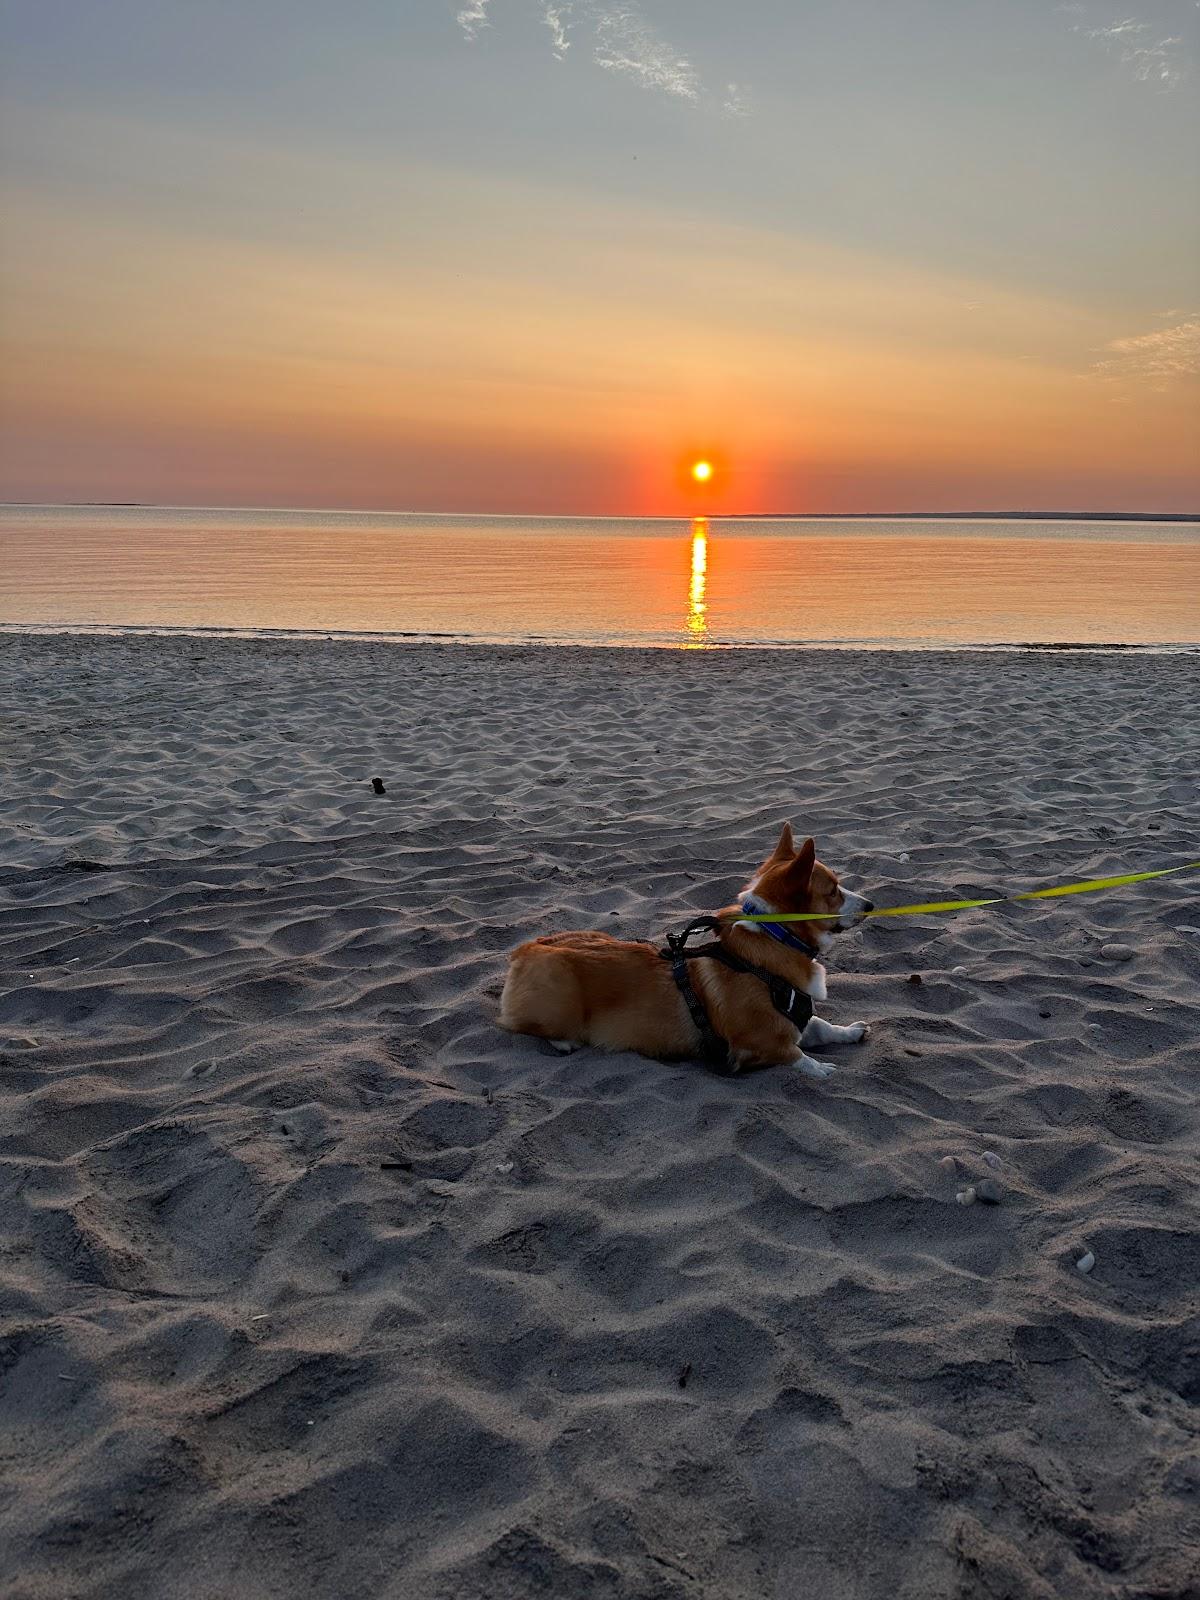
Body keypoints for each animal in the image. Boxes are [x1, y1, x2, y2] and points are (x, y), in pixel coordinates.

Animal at [499, 832, 876, 1081]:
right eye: (833, 892)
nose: (872, 904)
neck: (774, 938)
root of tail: (527, 948)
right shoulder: (759, 1043)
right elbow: (796, 1055)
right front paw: (822, 1069)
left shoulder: (795, 1021)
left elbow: (821, 1026)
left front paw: (850, 1032)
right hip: (558, 1001)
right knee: (518, 1025)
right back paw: (564, 1042)